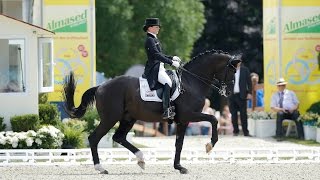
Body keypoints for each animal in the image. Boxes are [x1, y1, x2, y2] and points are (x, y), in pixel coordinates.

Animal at [63, 49, 240, 174]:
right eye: (232, 71)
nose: (229, 93)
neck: (191, 82)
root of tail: (100, 86)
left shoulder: (182, 121)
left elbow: (179, 144)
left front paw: (179, 167)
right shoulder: (189, 115)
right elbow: (213, 119)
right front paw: (209, 145)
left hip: (128, 118)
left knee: (119, 137)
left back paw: (141, 159)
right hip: (110, 118)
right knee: (94, 138)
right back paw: (101, 168)